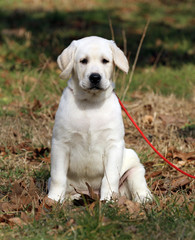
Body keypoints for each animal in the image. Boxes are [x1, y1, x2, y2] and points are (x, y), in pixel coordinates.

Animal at [47, 36, 152, 202]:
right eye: (83, 61)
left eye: (105, 61)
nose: (95, 77)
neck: (91, 103)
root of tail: (91, 193)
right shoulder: (60, 143)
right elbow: (58, 176)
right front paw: (53, 200)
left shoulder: (114, 144)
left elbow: (110, 176)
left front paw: (108, 200)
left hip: (134, 164)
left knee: (138, 181)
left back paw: (144, 198)